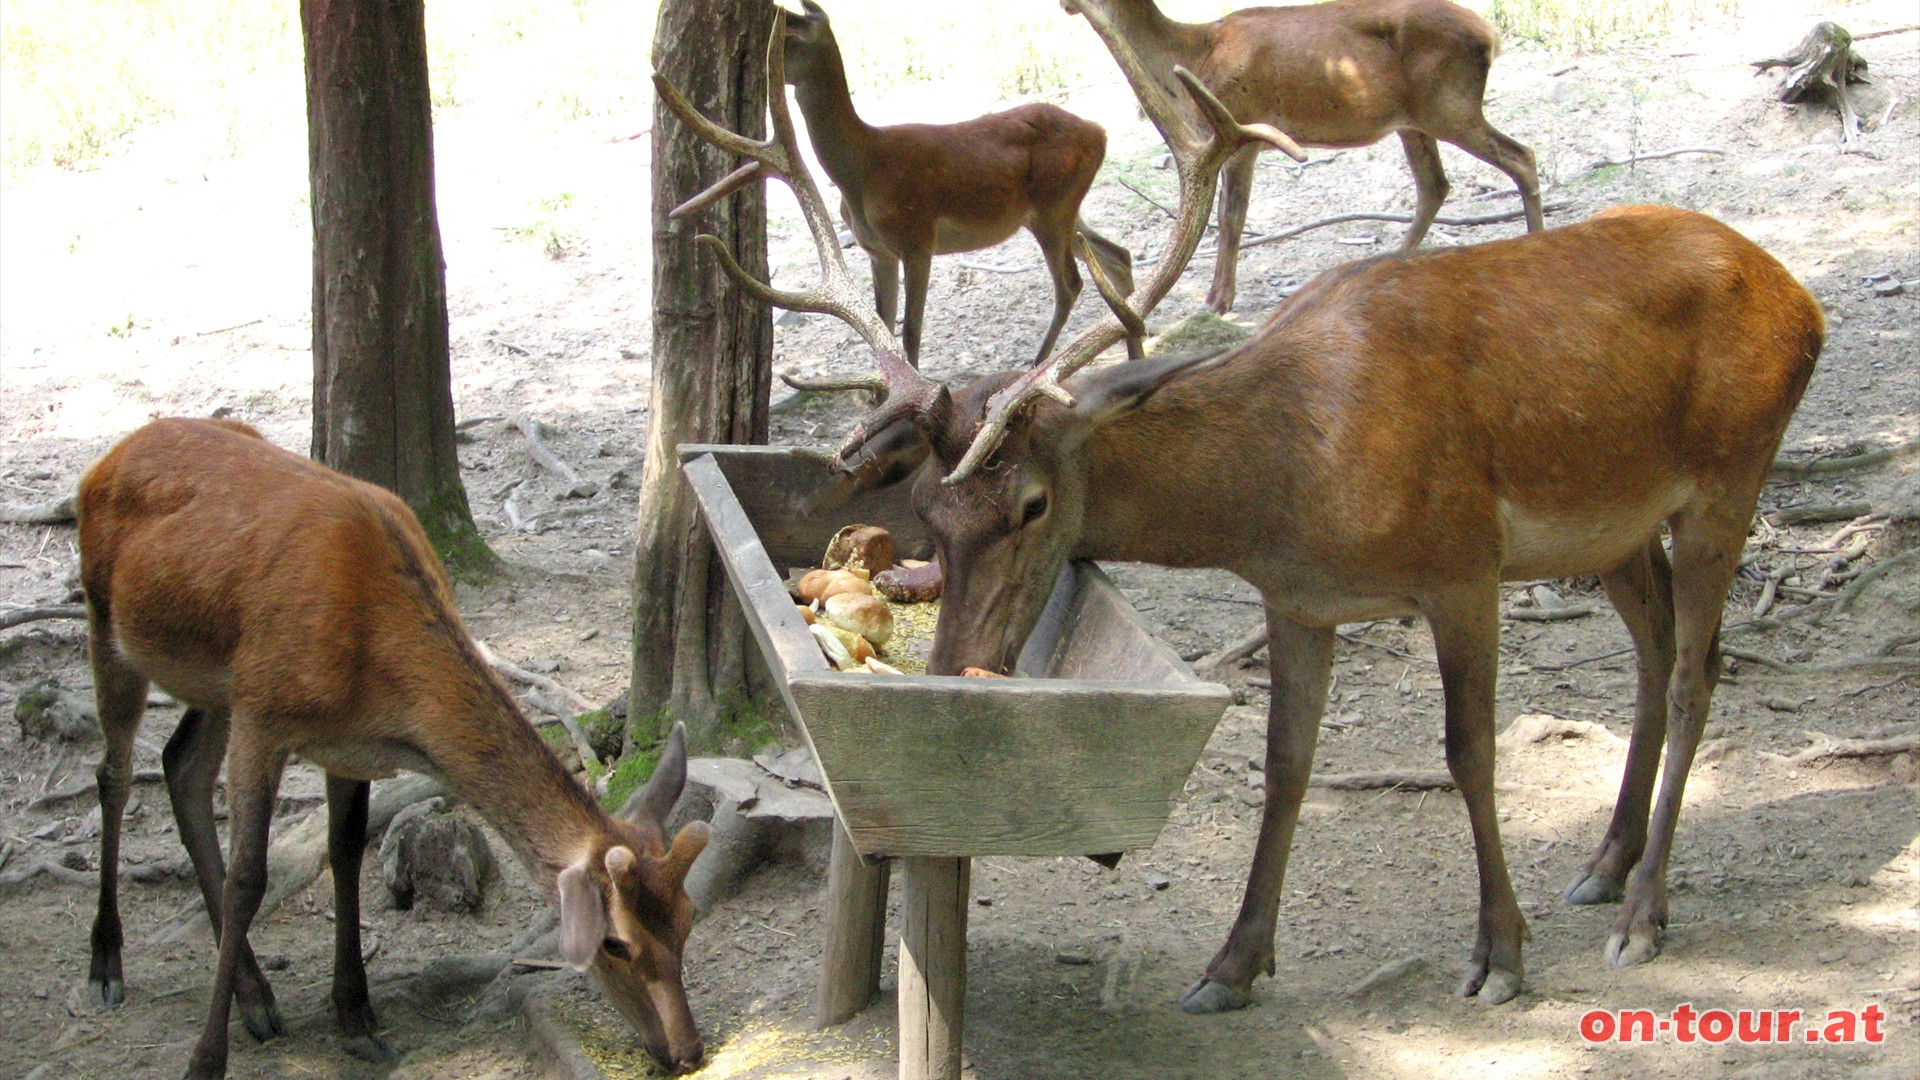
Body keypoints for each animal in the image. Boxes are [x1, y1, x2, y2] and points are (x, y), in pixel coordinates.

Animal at [78, 417, 718, 1068]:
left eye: (689, 918)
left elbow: (344, 854)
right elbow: (248, 880)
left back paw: (254, 995)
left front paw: (356, 1016)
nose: (687, 1050)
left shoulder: (344, 745)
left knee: (180, 767)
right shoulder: (263, 711)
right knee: (115, 773)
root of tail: (110, 456)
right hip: (108, 620)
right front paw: (206, 1060)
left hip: (214, 685)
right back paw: (109, 965)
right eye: (615, 943)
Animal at [775, 0, 1136, 365]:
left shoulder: (918, 239)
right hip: (1062, 210)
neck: (863, 171)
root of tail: (1100, 133)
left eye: (786, 37)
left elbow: (911, 332)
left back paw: (1040, 364)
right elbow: (883, 326)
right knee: (1117, 256)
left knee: (1070, 284)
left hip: (1053, 207)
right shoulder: (878, 251)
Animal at [1067, 0, 1543, 313]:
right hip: (1414, 121)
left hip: (1449, 107)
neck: (1191, 53)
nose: (1067, 4)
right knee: (1435, 184)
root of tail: (1491, 35)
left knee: (1522, 157)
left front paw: (1218, 300)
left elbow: (1231, 219)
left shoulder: (1238, 130)